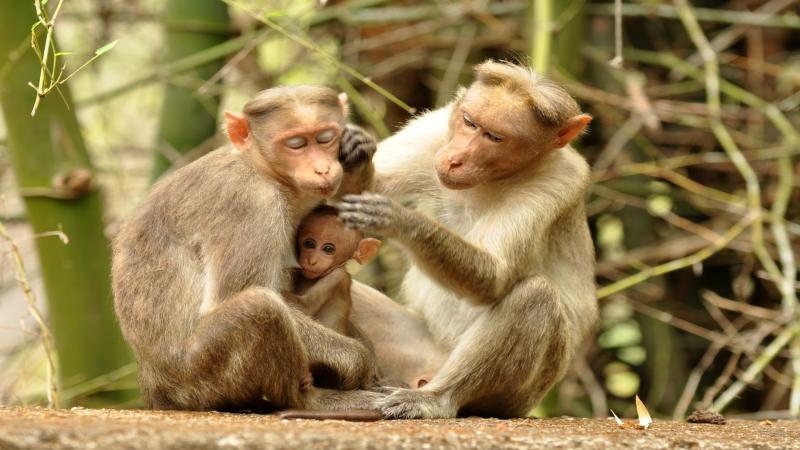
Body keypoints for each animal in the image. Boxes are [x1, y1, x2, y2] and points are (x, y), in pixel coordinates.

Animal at [112, 85, 385, 413]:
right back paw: (311, 400)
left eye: (325, 138)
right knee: (259, 306)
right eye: (296, 144)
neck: (261, 169)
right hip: (200, 380)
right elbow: (245, 297)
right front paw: (358, 361)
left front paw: (357, 152)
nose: (322, 169)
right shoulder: (251, 205)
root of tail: (155, 388)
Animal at [338, 60, 598, 418]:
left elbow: (496, 277)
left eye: (494, 137)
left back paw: (436, 399)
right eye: (469, 122)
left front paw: (397, 219)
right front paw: (352, 148)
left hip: (517, 396)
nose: (455, 157)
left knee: (536, 296)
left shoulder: (557, 182)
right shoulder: (434, 131)